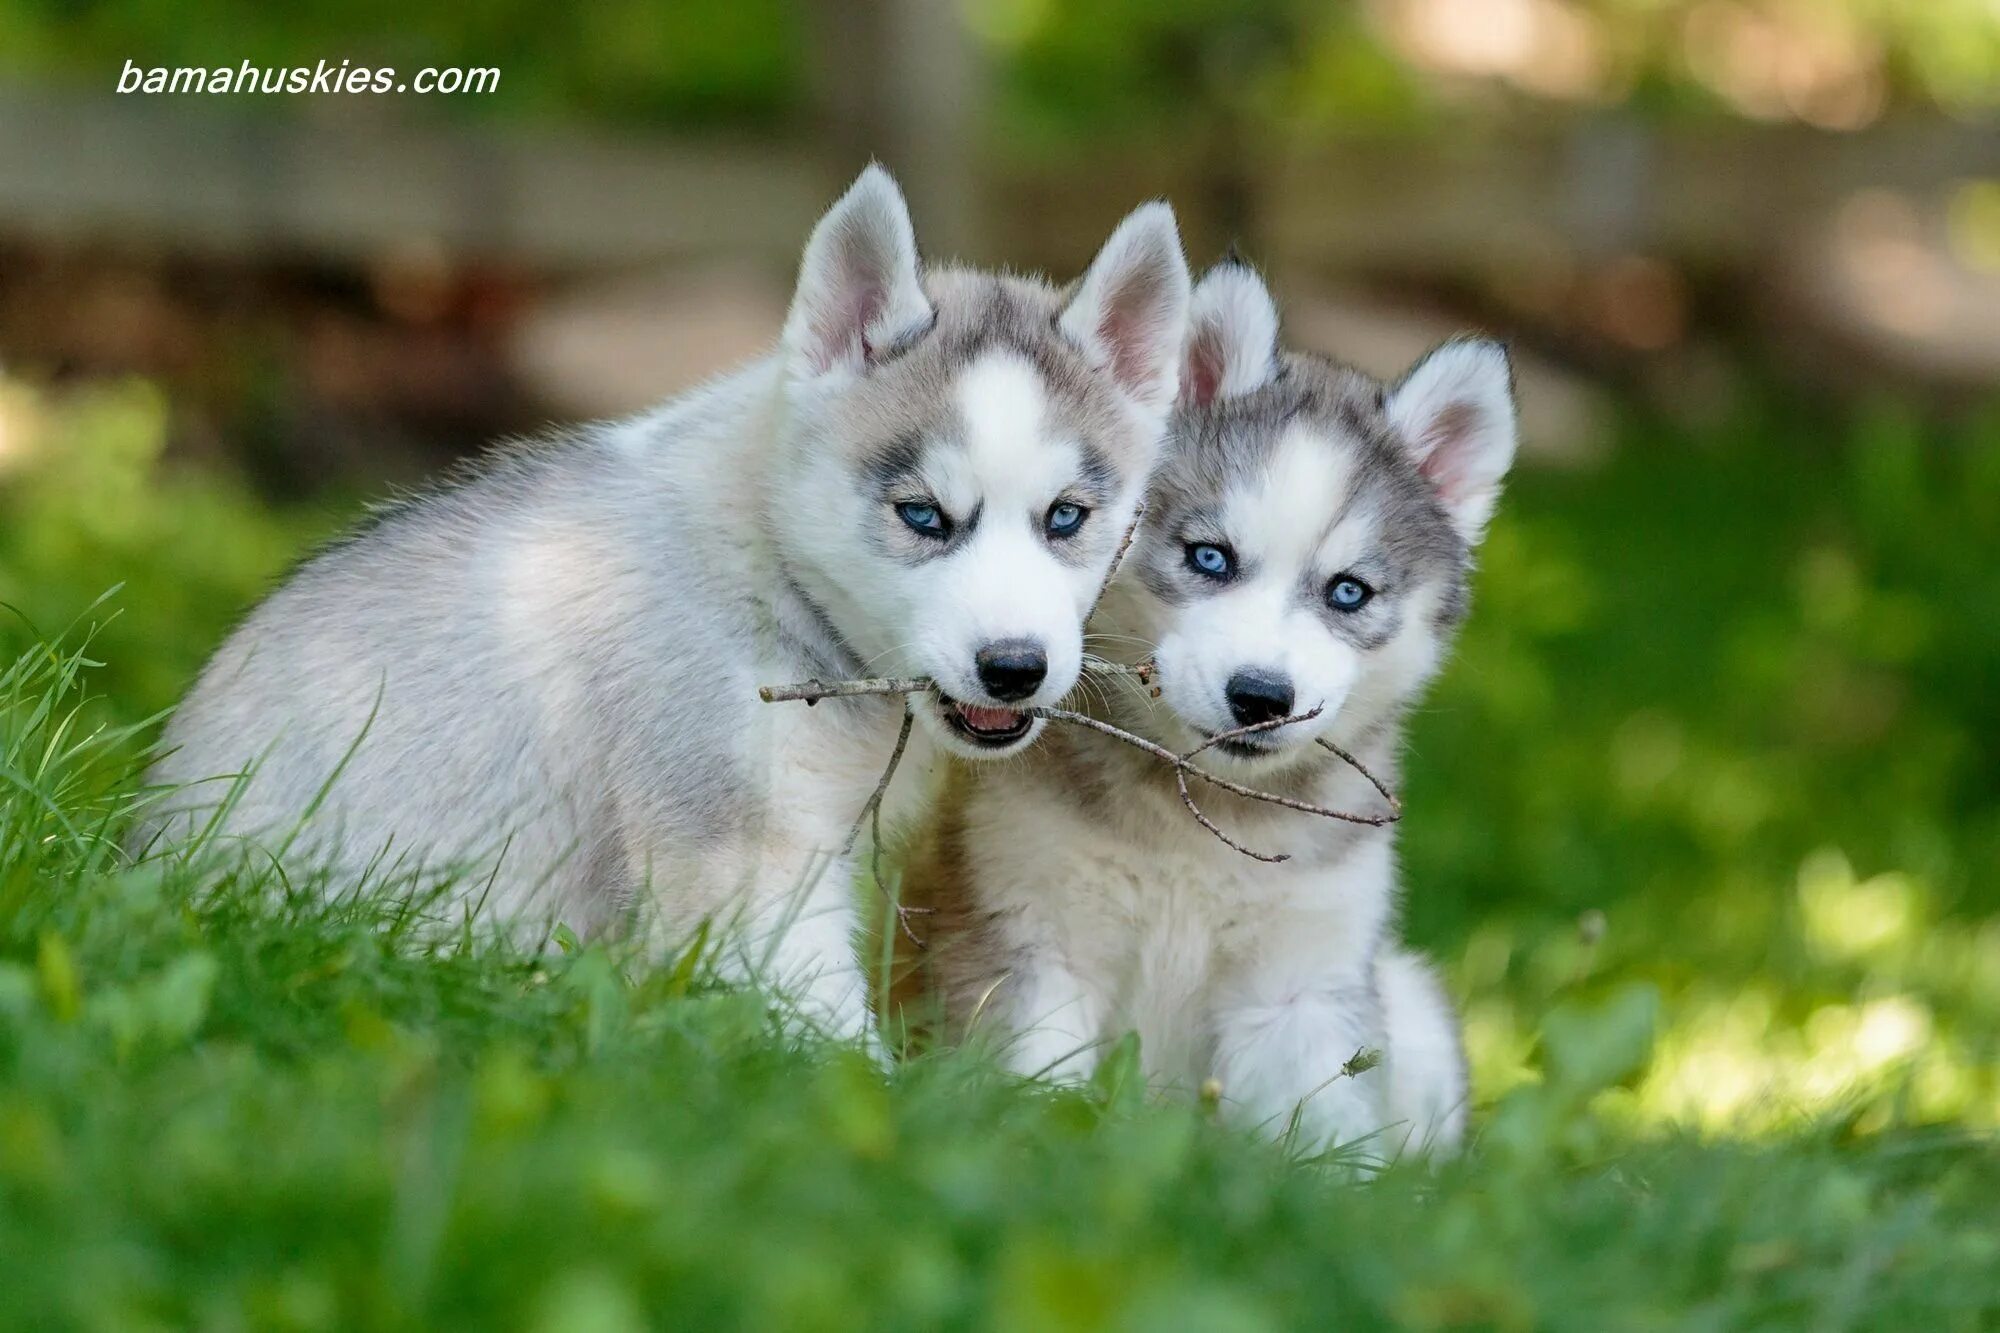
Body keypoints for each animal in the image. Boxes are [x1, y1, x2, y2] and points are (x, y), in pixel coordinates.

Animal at [152, 169, 1200, 1040]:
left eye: (1066, 517)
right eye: (922, 516)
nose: (1015, 668)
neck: (773, 566)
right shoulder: (744, 856)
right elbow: (828, 1033)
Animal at [892, 260, 1512, 1152]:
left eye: (1348, 592)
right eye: (1210, 557)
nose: (1261, 696)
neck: (1203, 825)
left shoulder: (1304, 984)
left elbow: (1324, 1132)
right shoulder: (1031, 937)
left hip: (1414, 1008)